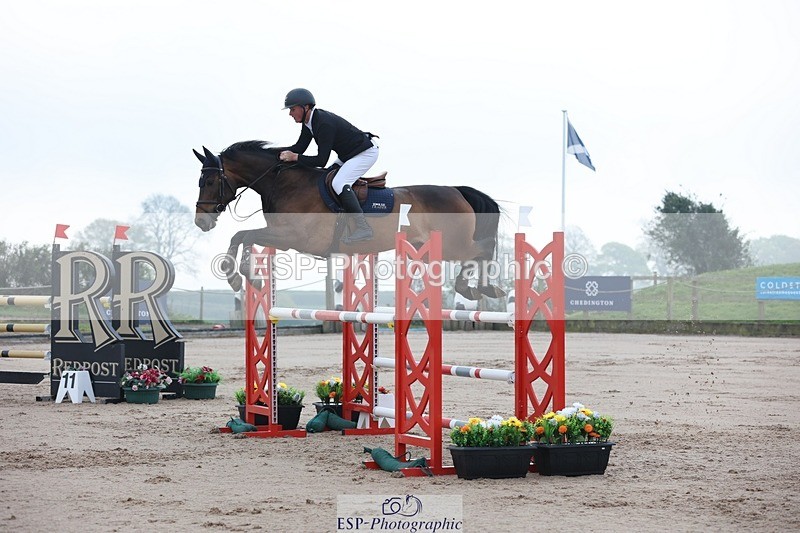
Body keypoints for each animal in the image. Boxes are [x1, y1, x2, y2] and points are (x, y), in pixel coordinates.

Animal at [193, 141, 505, 300]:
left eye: (209, 181)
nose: (201, 222)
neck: (284, 183)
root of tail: (457, 191)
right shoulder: (281, 237)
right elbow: (240, 236)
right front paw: (234, 275)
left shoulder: (294, 237)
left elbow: (247, 235)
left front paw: (246, 275)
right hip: (425, 249)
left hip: (454, 244)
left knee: (483, 247)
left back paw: (481, 288)